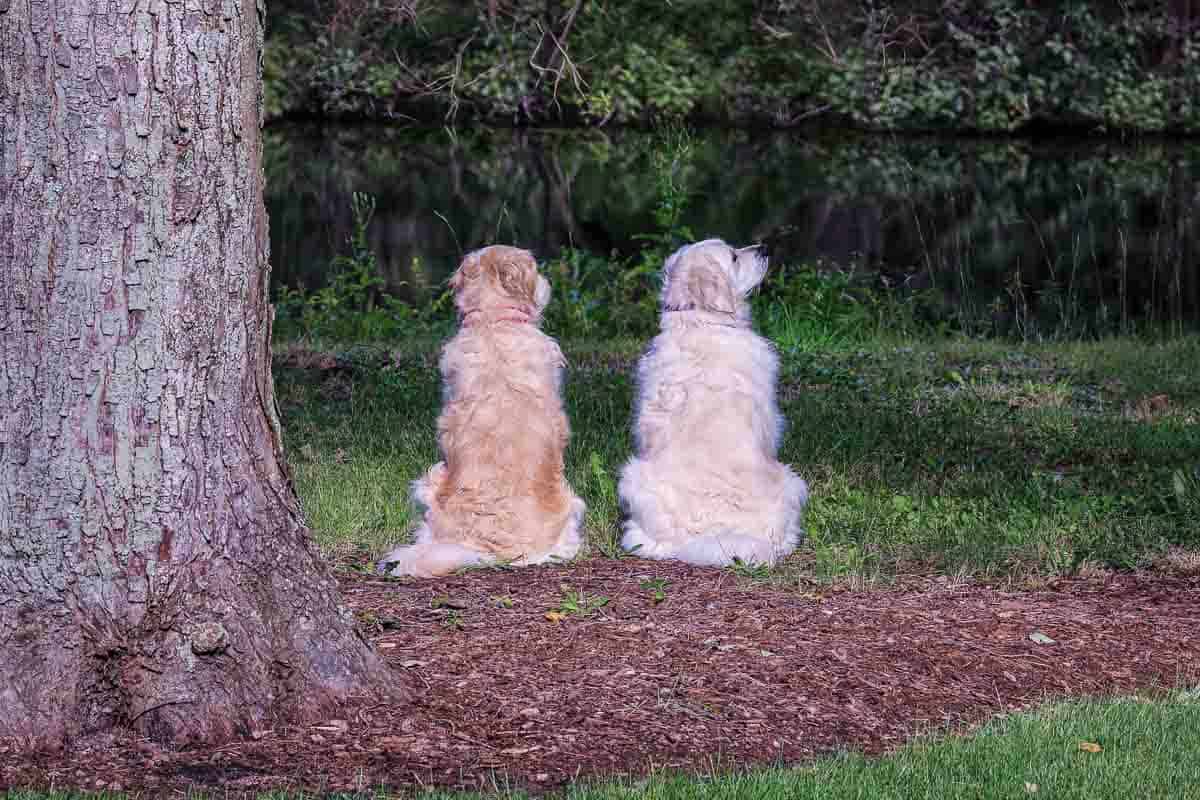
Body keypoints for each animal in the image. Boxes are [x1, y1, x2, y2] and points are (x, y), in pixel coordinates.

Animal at [619, 241, 806, 566]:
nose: (764, 248)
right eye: (733, 256)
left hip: (632, 479)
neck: (699, 321)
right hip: (792, 481)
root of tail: (713, 532)